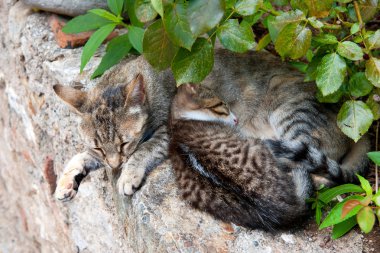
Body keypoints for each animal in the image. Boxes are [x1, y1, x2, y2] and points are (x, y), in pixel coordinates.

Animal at [54, 73, 176, 202]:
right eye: (98, 149)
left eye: (124, 144)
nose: (115, 166)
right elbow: (83, 156)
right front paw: (66, 181)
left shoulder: (169, 129)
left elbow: (145, 148)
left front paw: (128, 175)